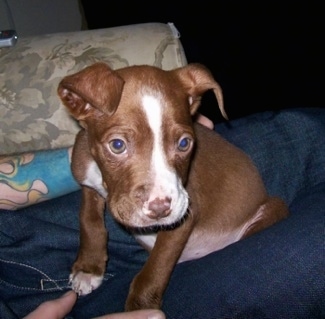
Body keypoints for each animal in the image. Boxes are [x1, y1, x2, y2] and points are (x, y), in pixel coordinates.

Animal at [57, 62, 288, 310]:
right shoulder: (87, 180)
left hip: (273, 208)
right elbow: (89, 220)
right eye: (117, 145)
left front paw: (140, 309)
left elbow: (154, 269)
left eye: (184, 143)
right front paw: (88, 268)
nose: (160, 208)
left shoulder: (184, 216)